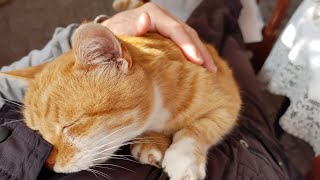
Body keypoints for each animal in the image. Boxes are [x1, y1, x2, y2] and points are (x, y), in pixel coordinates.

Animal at [1, 22, 240, 179]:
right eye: (38, 132)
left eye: (72, 125)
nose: (49, 164)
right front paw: (151, 141)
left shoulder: (230, 97)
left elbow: (200, 128)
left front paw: (184, 159)